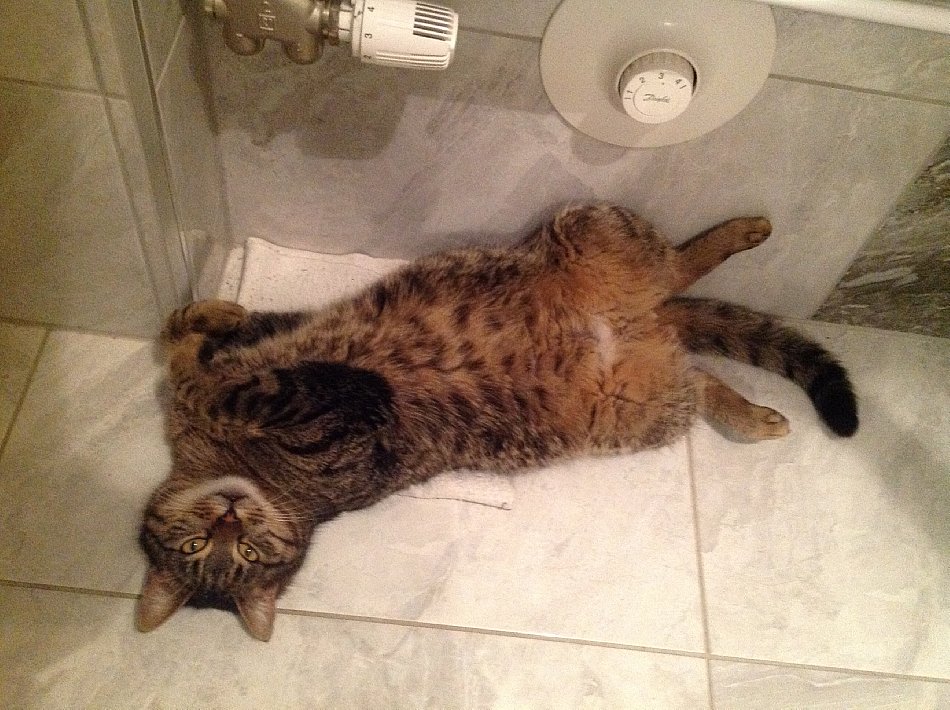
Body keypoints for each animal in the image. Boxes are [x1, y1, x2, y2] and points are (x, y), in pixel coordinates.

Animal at [136, 203, 858, 641]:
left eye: (243, 551)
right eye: (202, 551)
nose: (229, 517)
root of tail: (649, 323)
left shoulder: (293, 368)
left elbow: (191, 351)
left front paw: (209, 317)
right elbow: (211, 377)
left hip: (591, 227)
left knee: (680, 263)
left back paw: (742, 232)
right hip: (641, 410)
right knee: (701, 375)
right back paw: (752, 412)